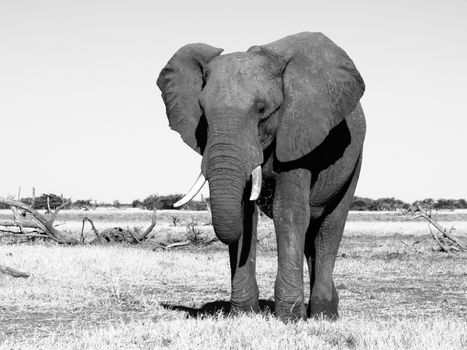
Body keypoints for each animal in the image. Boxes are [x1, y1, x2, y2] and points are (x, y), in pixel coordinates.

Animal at [156, 31, 366, 322]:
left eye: (261, 109)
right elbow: (244, 214)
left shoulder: (298, 132)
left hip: (354, 159)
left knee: (329, 227)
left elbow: (288, 212)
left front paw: (289, 318)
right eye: (202, 111)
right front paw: (244, 314)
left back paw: (324, 314)